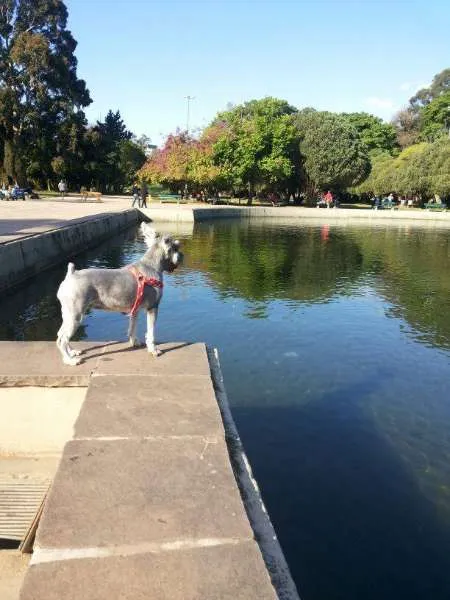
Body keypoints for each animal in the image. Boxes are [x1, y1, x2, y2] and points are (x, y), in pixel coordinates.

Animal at [56, 223, 183, 366]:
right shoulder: (153, 308)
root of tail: (71, 274)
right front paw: (153, 350)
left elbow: (132, 327)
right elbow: (151, 333)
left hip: (68, 315)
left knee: (61, 334)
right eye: (176, 247)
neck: (151, 265)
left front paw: (134, 342)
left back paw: (72, 352)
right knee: (62, 339)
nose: (182, 255)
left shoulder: (135, 310)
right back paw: (70, 360)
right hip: (75, 316)